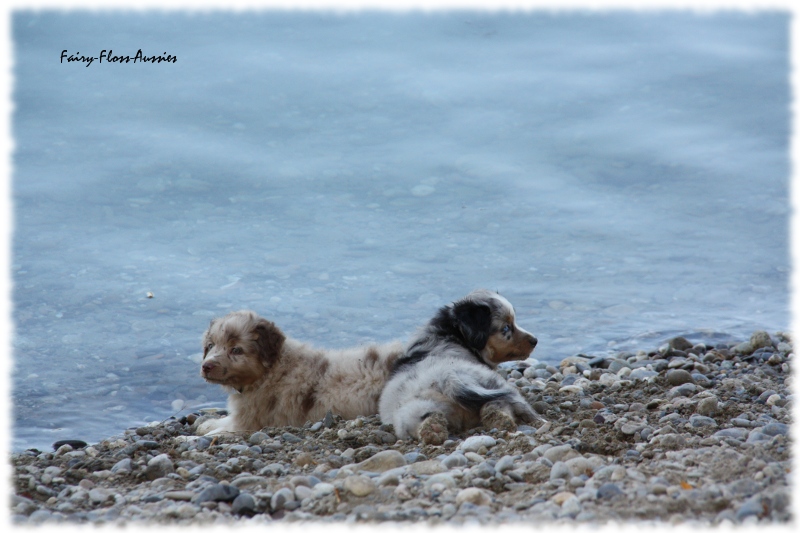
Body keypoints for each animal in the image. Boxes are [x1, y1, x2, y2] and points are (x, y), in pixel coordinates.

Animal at [378, 288, 540, 442]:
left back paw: (434, 429)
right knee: (509, 405)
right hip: (493, 382)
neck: (451, 333)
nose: (535, 341)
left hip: (411, 412)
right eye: (506, 328)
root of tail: (446, 380)